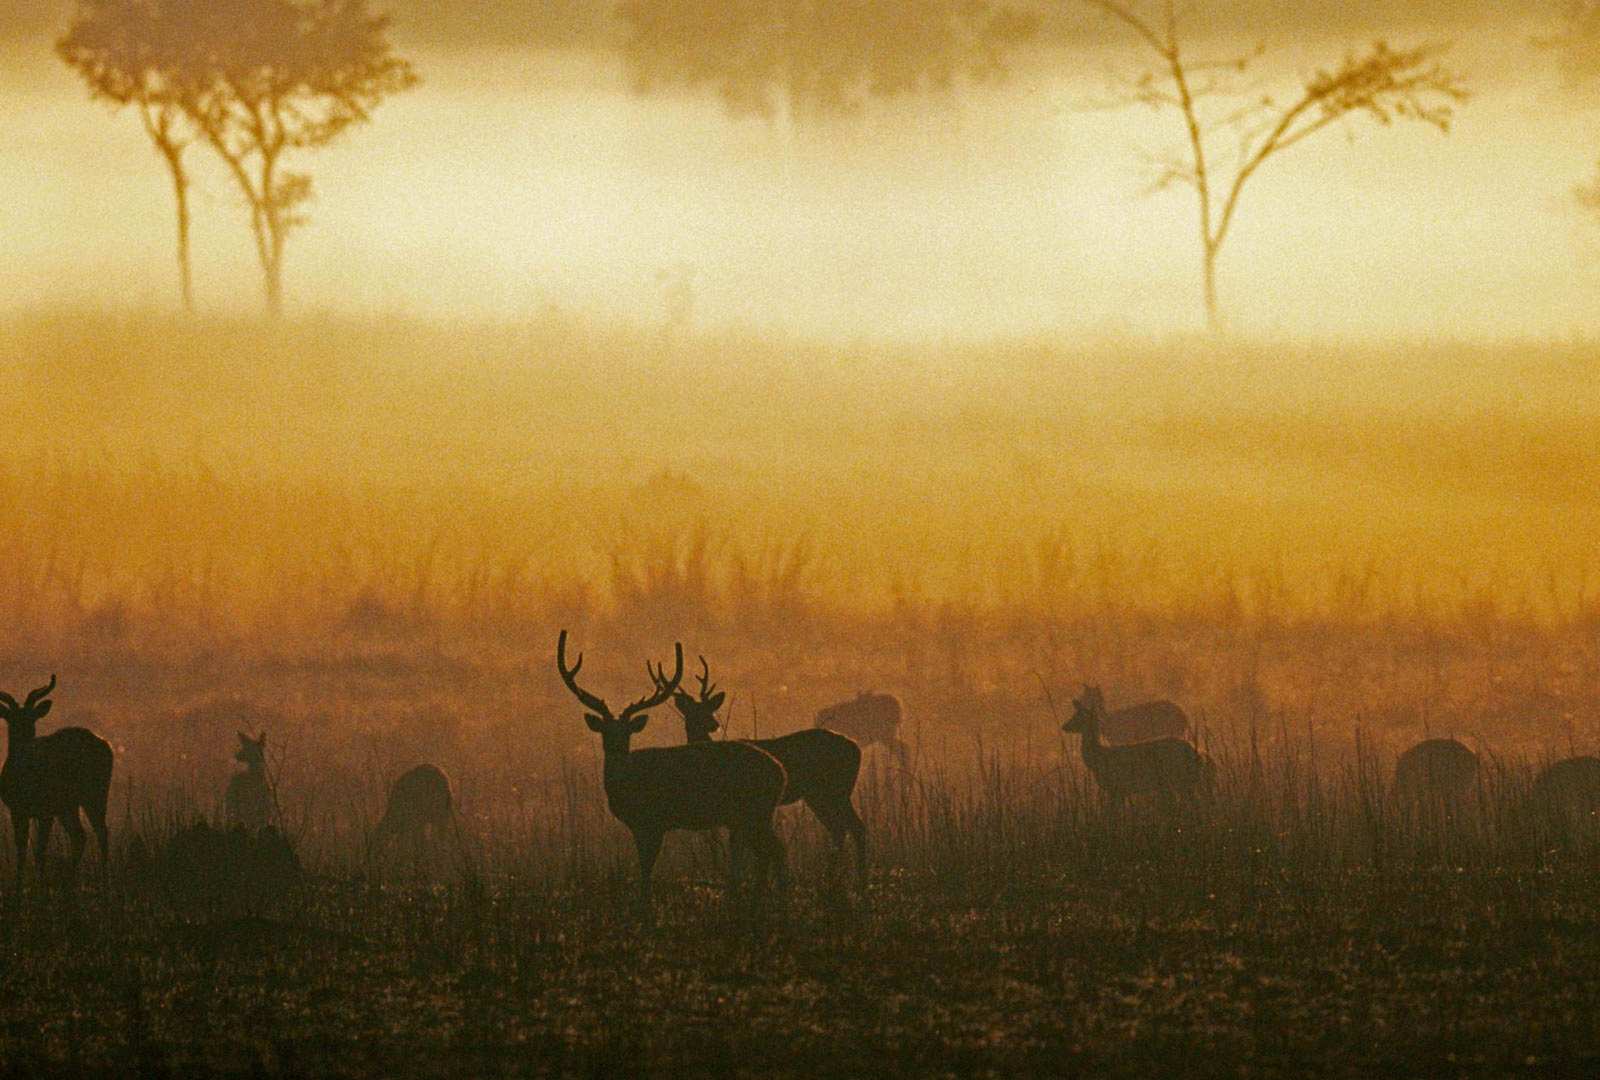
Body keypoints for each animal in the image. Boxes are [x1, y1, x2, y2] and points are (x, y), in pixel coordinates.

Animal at [0, 675, 113, 888]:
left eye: (32, 718)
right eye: (12, 719)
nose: (25, 737)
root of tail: (106, 745)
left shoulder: (40, 809)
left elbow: (36, 850)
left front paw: (37, 887)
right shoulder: (22, 809)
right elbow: (24, 849)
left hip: (90, 794)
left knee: (96, 833)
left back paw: (96, 883)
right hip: (75, 802)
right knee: (85, 834)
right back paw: (78, 882)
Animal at [558, 631, 788, 914]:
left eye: (626, 732)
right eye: (605, 731)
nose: (616, 750)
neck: (629, 786)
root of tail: (780, 772)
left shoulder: (655, 821)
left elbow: (647, 868)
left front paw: (645, 908)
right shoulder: (639, 826)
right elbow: (644, 866)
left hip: (754, 812)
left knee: (776, 851)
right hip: (749, 816)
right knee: (769, 853)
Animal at [654, 656, 867, 892]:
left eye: (709, 709)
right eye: (694, 711)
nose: (714, 724)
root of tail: (855, 748)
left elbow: (739, 846)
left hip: (833, 791)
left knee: (852, 827)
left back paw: (855, 881)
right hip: (821, 795)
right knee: (841, 828)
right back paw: (834, 878)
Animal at [1061, 685, 1210, 809]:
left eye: (1078, 716)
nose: (1064, 726)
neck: (1099, 758)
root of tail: (1198, 755)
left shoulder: (1116, 787)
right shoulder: (1120, 790)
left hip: (1179, 777)